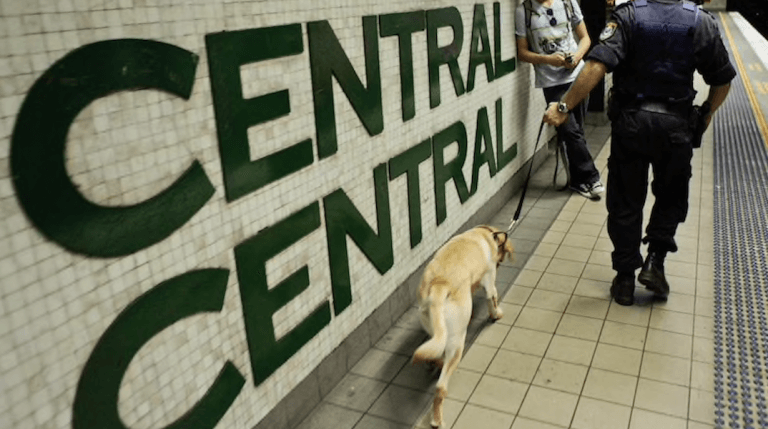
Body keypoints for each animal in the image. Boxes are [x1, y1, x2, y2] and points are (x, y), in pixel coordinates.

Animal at [412, 226, 512, 426]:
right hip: (457, 342)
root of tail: (440, 284)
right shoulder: (489, 281)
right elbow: (492, 299)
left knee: (435, 350)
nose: (500, 262)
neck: (486, 233)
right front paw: (496, 314)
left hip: (434, 327)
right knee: (440, 386)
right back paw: (437, 420)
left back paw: (432, 362)